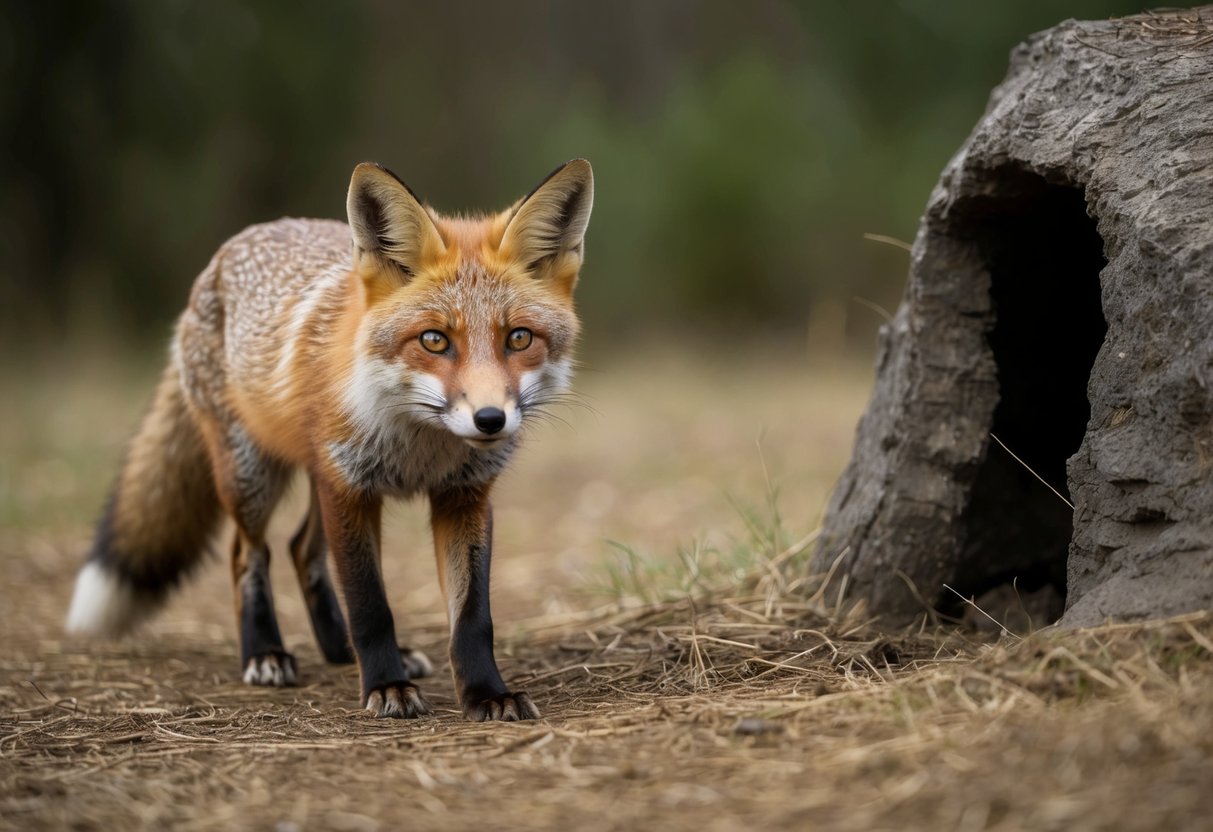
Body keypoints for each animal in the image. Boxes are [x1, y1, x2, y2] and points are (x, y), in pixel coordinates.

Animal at [65, 159, 593, 721]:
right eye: (434, 340)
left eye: (519, 338)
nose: (490, 420)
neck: (421, 447)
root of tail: (227, 251)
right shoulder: (350, 490)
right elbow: (370, 605)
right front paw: (387, 686)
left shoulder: (463, 497)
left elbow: (473, 618)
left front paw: (486, 693)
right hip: (253, 477)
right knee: (246, 553)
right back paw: (265, 653)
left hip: (318, 481)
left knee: (300, 550)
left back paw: (340, 651)